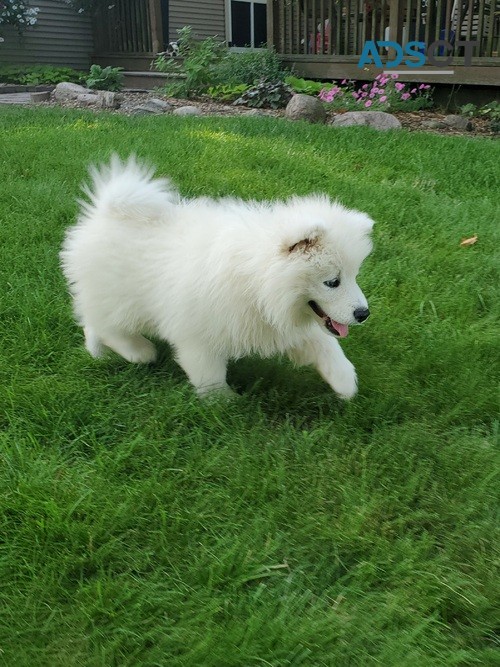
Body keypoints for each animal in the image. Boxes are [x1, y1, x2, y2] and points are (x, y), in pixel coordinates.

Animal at [60, 155, 374, 396]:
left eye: (354, 275)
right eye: (332, 282)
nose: (363, 314)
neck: (257, 282)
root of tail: (107, 211)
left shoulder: (280, 323)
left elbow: (325, 343)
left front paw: (345, 382)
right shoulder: (199, 332)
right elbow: (208, 373)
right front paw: (223, 406)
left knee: (93, 323)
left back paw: (98, 353)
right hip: (118, 297)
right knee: (107, 326)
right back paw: (139, 351)